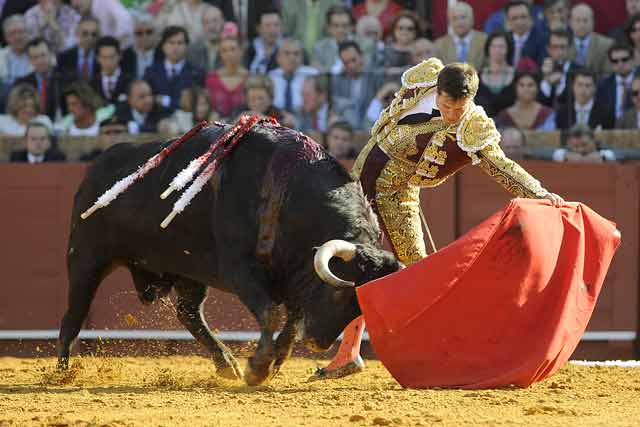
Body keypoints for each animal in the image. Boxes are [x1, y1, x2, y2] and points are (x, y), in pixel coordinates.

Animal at [58, 122, 400, 386]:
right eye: (339, 295)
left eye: (360, 306)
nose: (319, 343)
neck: (288, 194)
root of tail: (95, 167)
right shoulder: (240, 270)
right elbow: (272, 313)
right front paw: (258, 368)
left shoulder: (292, 277)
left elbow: (293, 320)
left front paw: (273, 363)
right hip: (86, 258)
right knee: (74, 314)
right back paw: (62, 374)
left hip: (187, 270)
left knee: (188, 313)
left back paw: (226, 364)